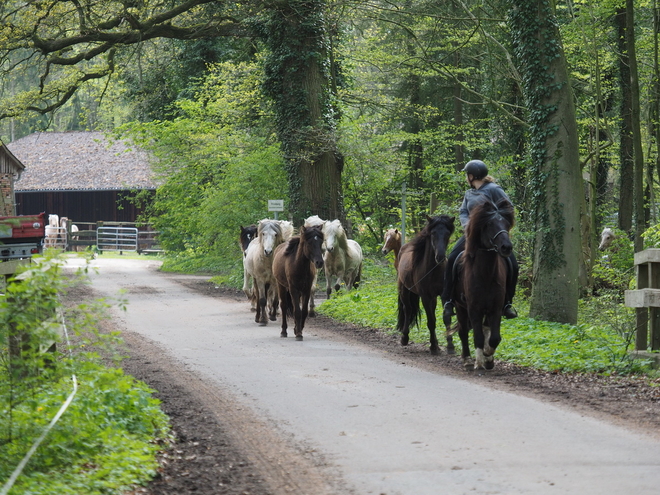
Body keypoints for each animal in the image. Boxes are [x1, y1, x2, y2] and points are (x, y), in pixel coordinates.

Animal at [394, 215, 456, 354]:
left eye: (447, 233)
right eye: (433, 233)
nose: (440, 256)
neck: (434, 271)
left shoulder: (444, 295)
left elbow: (446, 318)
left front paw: (450, 346)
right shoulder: (425, 297)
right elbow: (431, 321)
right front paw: (433, 347)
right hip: (404, 290)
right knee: (407, 309)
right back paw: (405, 337)